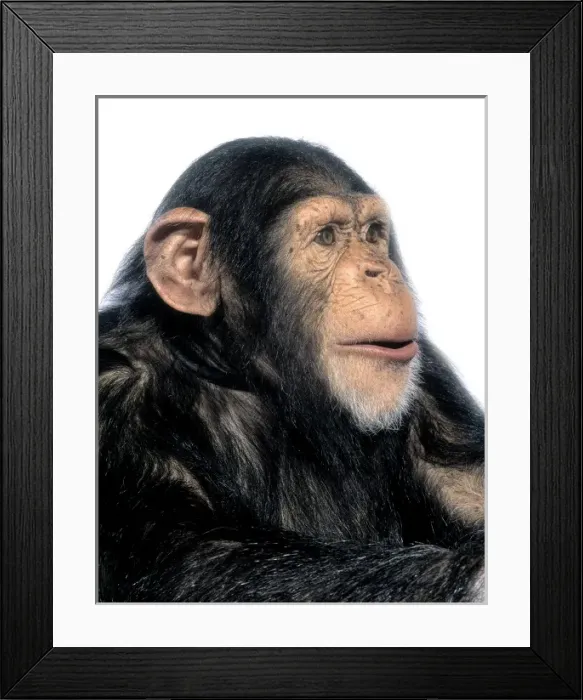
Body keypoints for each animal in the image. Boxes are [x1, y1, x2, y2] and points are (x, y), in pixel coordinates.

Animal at [99, 136, 485, 602]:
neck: (238, 372)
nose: (379, 271)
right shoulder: (114, 397)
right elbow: (193, 562)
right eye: (326, 237)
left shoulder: (431, 387)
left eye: (374, 234)